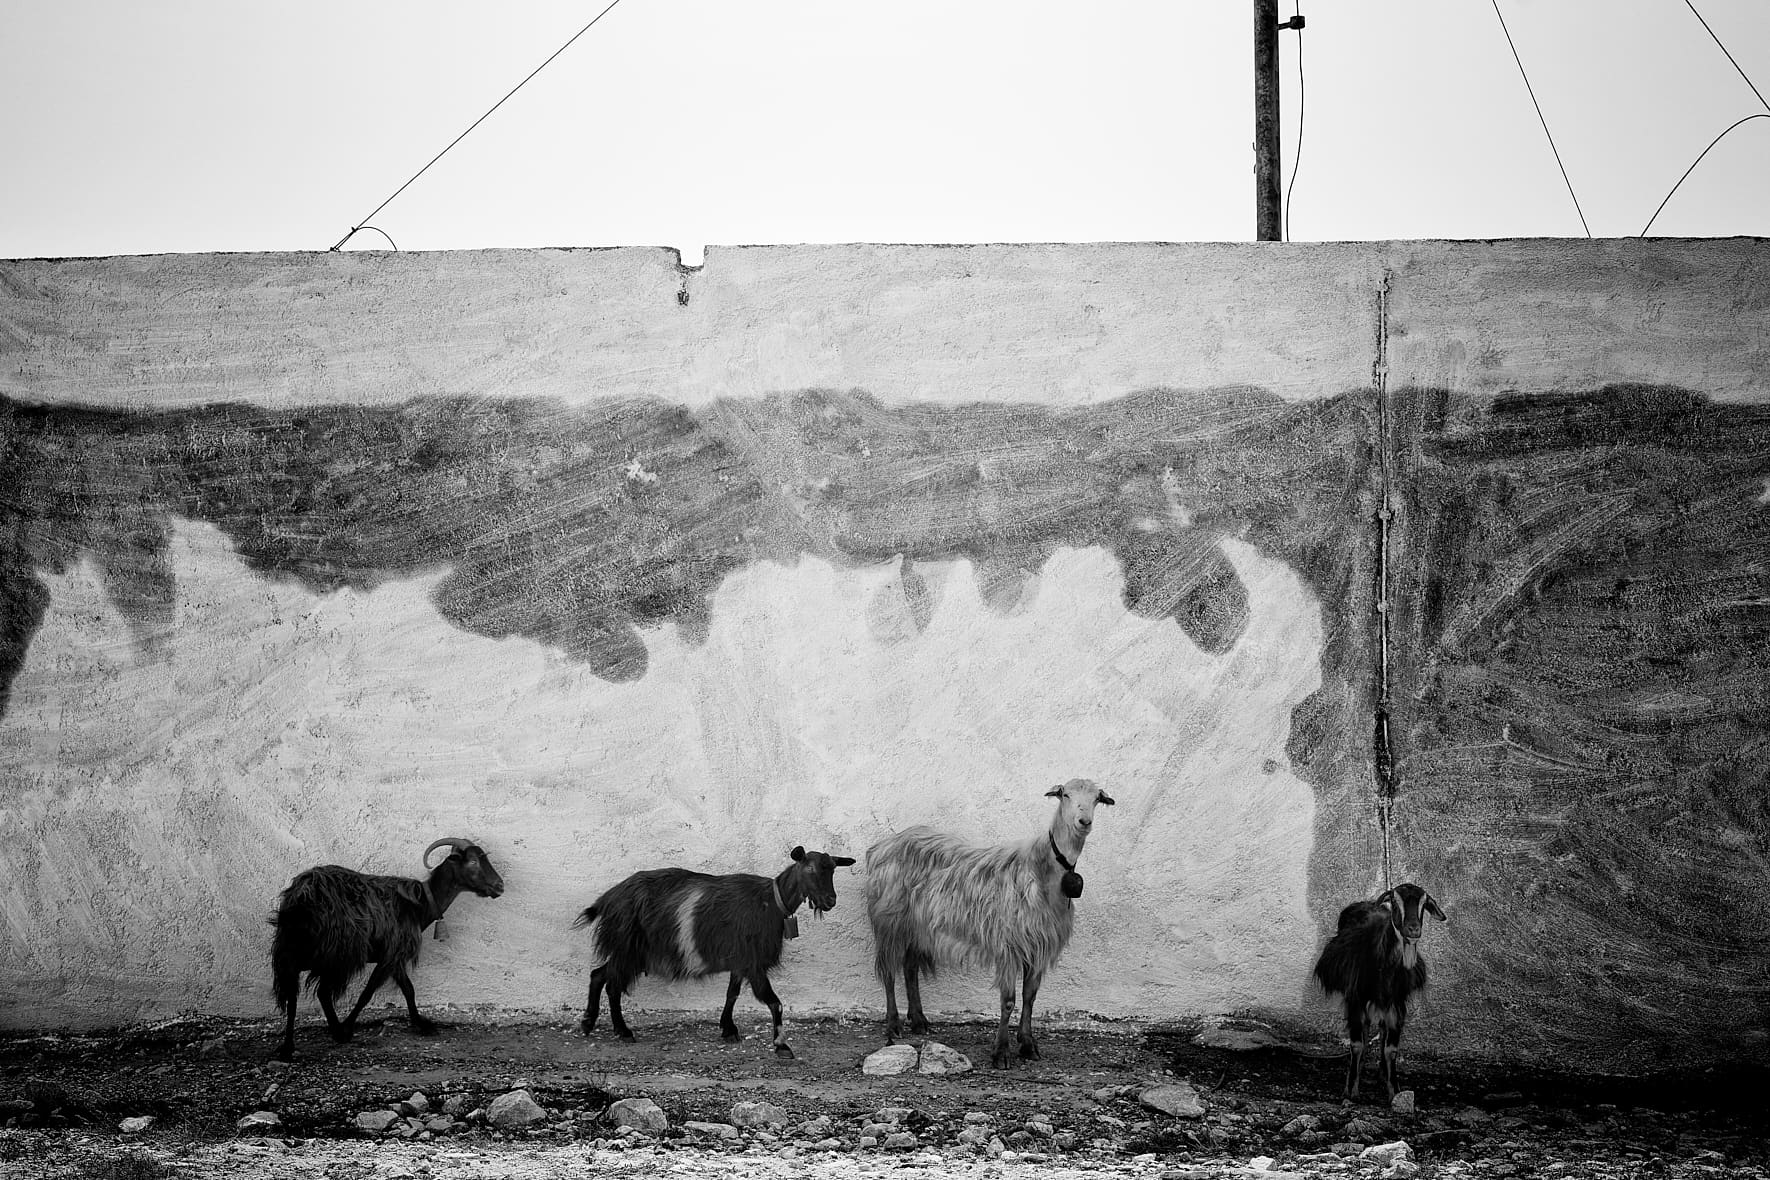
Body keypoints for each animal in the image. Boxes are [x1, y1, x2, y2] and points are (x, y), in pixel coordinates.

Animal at [269, 835, 506, 1068]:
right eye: (473, 862)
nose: (500, 886)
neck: (420, 904)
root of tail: (302, 895)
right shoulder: (391, 952)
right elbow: (368, 992)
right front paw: (348, 1027)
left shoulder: (395, 956)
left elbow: (408, 989)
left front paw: (420, 1023)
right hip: (338, 954)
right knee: (322, 992)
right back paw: (336, 1032)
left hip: (291, 954)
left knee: (294, 997)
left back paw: (289, 1047)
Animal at [573, 845, 856, 1054]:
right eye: (809, 868)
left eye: (832, 869)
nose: (830, 901)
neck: (771, 903)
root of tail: (607, 899)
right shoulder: (753, 962)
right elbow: (775, 1003)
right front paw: (781, 1045)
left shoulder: (740, 960)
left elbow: (732, 993)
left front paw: (728, 1028)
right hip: (627, 948)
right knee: (612, 984)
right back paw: (623, 1031)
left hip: (628, 952)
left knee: (599, 975)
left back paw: (589, 1022)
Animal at [863, 774, 1111, 1068]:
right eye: (1065, 795)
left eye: (1096, 798)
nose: (1084, 822)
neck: (1044, 870)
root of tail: (880, 848)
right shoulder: (1008, 945)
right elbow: (1008, 1001)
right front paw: (1001, 1052)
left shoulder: (1039, 945)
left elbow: (1030, 997)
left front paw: (1027, 1044)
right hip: (890, 921)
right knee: (889, 971)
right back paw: (893, 1026)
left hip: (917, 927)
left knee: (910, 968)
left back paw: (919, 1020)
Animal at [1309, 881, 1444, 1103]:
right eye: (1395, 902)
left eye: (1424, 904)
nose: (1413, 929)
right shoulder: (1355, 999)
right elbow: (1357, 1044)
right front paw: (1351, 1091)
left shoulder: (1397, 1004)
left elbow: (1391, 1049)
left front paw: (1394, 1090)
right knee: (1364, 1033)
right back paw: (1360, 1067)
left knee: (1380, 1032)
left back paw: (1382, 1073)